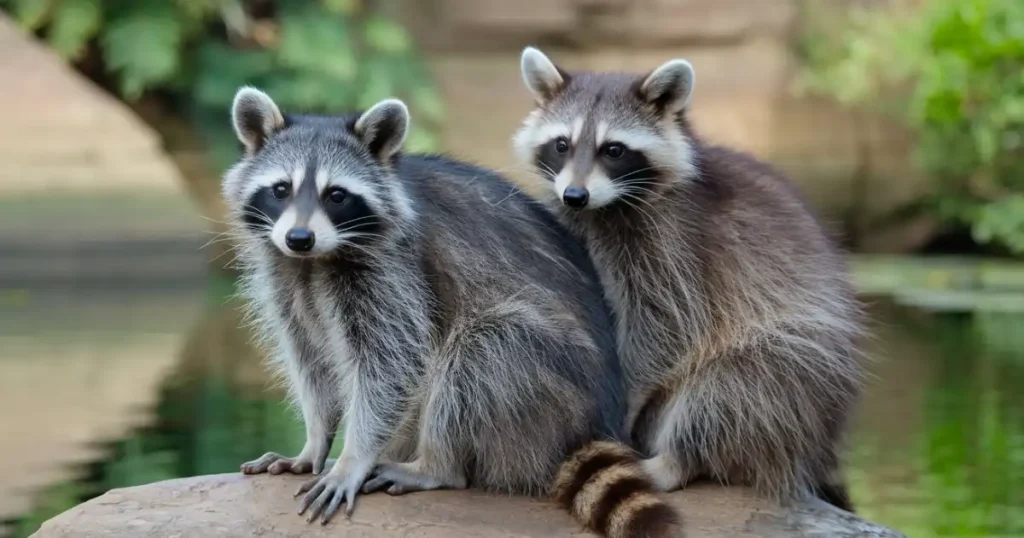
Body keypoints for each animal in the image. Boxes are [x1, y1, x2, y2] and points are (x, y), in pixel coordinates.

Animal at [225, 89, 688, 536]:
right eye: (281, 189)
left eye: (335, 195)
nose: (299, 237)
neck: (316, 260)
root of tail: (593, 424)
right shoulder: (286, 278)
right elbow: (310, 360)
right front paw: (315, 442)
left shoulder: (396, 269)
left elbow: (391, 365)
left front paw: (352, 457)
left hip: (551, 385)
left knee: (483, 349)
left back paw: (438, 465)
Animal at [512, 48, 864, 510]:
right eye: (561, 144)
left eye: (614, 150)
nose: (575, 195)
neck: (605, 208)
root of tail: (821, 443)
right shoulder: (575, 228)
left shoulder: (677, 247)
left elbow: (668, 327)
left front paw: (627, 401)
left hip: (803, 367)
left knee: (733, 391)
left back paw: (675, 460)